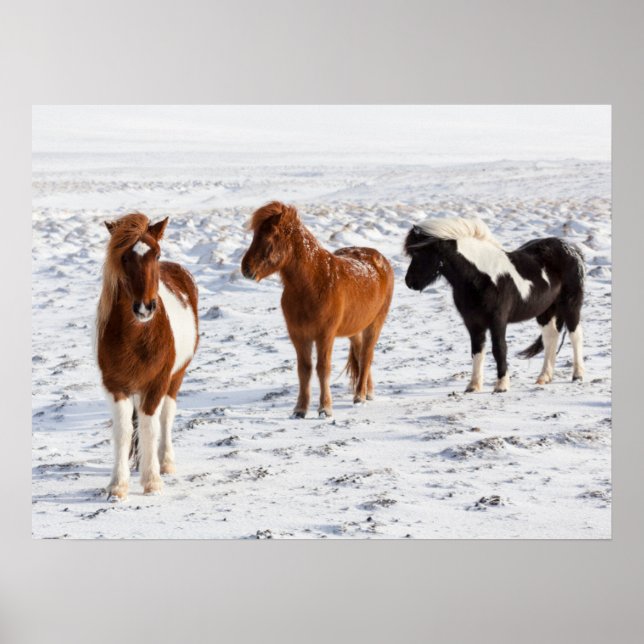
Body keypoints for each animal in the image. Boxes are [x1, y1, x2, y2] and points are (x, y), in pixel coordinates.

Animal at [96, 213, 198, 500]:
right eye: (124, 257)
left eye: (157, 253)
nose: (145, 307)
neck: (136, 336)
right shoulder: (115, 387)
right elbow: (123, 431)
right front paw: (117, 486)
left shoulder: (156, 384)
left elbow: (150, 427)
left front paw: (152, 481)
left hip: (175, 378)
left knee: (165, 417)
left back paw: (165, 462)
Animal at [241, 201, 394, 418]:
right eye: (255, 235)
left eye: (270, 237)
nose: (246, 269)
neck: (313, 284)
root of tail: (381, 260)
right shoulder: (299, 335)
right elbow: (304, 370)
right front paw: (300, 409)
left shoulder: (325, 335)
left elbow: (323, 369)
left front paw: (325, 408)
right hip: (354, 328)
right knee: (360, 353)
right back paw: (367, 392)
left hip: (375, 324)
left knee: (366, 356)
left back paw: (360, 396)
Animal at [404, 216, 585, 393]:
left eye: (419, 252)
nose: (409, 282)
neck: (480, 277)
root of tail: (571, 249)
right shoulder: (473, 322)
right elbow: (477, 350)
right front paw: (473, 386)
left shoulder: (497, 320)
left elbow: (499, 349)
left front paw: (501, 386)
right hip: (545, 311)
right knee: (550, 338)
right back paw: (544, 378)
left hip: (570, 305)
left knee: (575, 335)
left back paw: (577, 375)